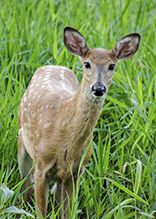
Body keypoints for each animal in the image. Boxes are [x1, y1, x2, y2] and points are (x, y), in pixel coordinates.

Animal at [18, 26, 140, 218]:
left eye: (112, 66)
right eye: (87, 64)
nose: (98, 88)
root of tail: (52, 65)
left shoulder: (76, 172)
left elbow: (67, 212)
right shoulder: (41, 166)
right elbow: (41, 211)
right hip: (22, 141)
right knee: (25, 186)